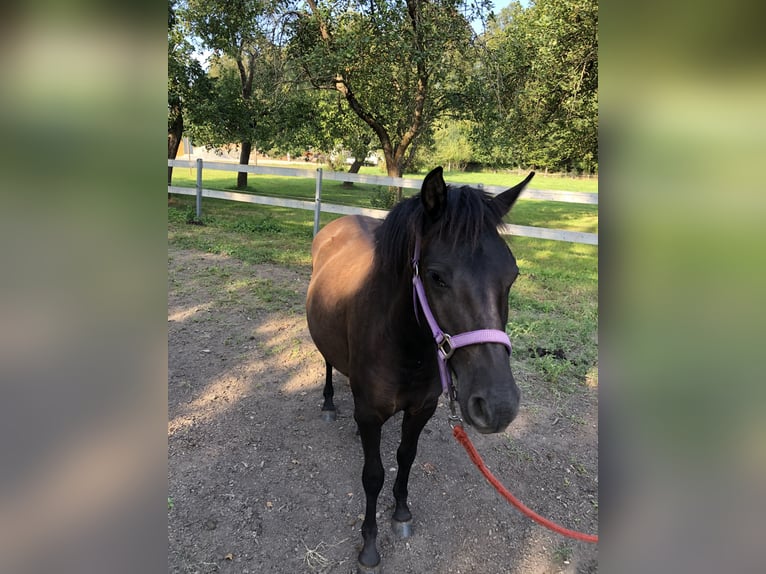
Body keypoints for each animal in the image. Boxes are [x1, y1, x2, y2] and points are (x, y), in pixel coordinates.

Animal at [304, 165, 536, 572]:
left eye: (512, 276)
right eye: (436, 276)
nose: (499, 406)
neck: (404, 345)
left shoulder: (421, 410)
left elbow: (405, 457)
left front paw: (401, 512)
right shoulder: (370, 414)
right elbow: (373, 475)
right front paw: (369, 544)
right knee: (330, 363)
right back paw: (330, 403)